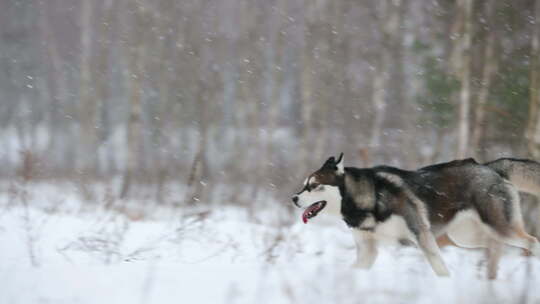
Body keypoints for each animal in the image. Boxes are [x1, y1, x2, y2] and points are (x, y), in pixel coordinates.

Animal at [294, 154, 536, 278]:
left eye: (313, 186)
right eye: (303, 185)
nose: (294, 198)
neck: (369, 198)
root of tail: (489, 167)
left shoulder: (421, 235)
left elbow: (439, 268)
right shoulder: (367, 251)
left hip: (499, 227)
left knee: (531, 241)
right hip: (466, 236)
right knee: (495, 245)